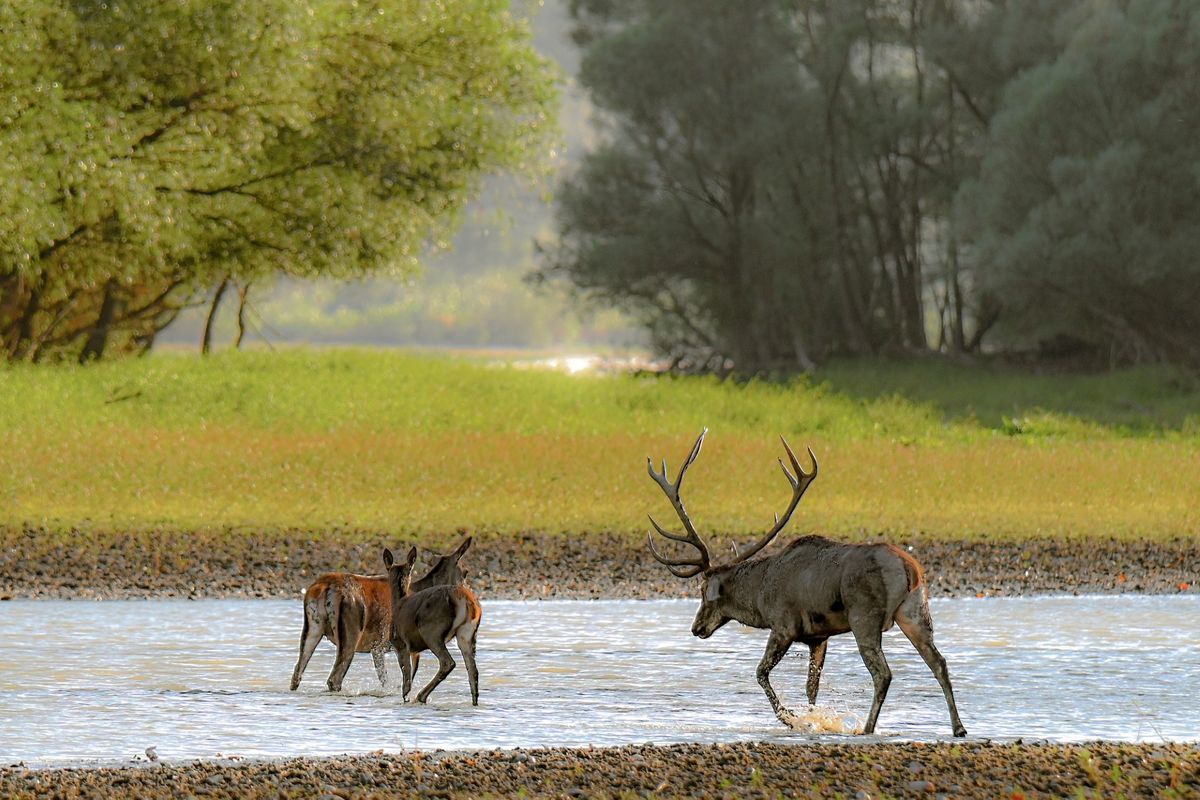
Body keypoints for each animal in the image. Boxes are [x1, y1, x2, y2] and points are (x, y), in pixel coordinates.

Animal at [290, 542, 472, 690]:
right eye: (465, 572)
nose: (469, 595)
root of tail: (324, 587)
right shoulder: (406, 647)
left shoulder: (377, 648)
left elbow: (385, 680)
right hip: (351, 634)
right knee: (334, 678)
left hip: (312, 629)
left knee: (297, 674)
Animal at [381, 544, 480, 705]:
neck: (398, 603)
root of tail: (466, 600)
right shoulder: (414, 651)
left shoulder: (400, 643)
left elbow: (406, 683)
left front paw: (406, 700)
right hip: (467, 633)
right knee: (473, 671)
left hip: (431, 631)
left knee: (448, 662)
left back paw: (421, 696)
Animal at [648, 431, 964, 738]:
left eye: (704, 592)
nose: (696, 628)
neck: (759, 598)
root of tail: (908, 568)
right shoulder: (818, 636)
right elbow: (811, 686)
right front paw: (812, 720)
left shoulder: (783, 625)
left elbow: (760, 673)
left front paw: (790, 719)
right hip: (915, 611)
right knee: (939, 662)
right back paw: (958, 727)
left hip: (864, 616)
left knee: (883, 673)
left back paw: (866, 728)